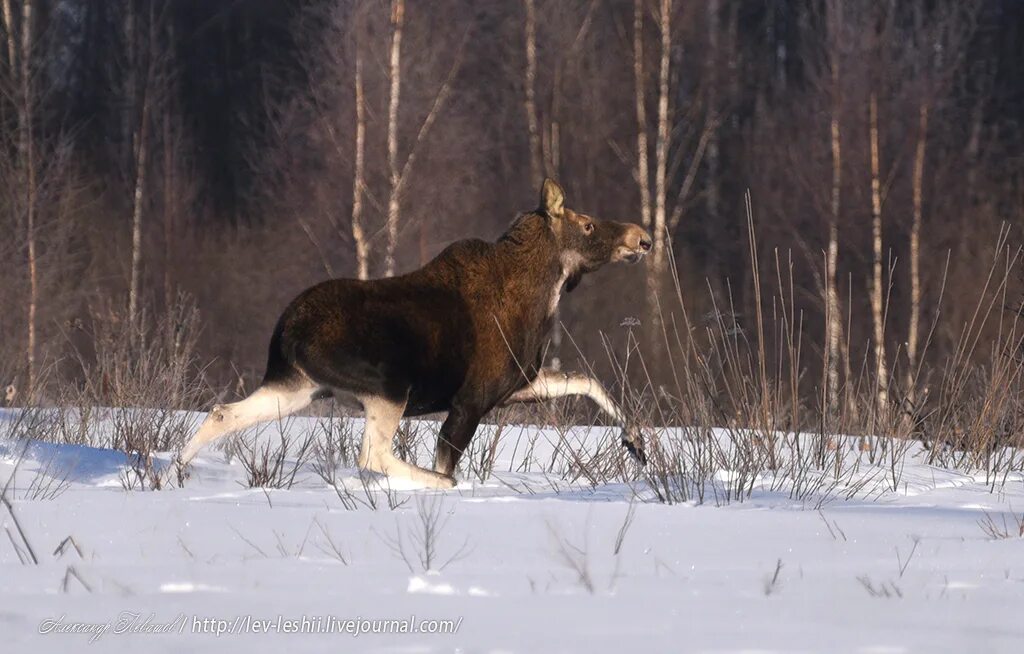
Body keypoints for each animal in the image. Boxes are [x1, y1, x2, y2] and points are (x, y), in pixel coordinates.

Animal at [180, 179, 651, 487]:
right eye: (587, 225)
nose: (642, 237)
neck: (542, 295)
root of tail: (285, 332)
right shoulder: (471, 399)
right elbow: (448, 461)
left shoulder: (517, 383)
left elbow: (587, 381)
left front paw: (637, 443)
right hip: (387, 387)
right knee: (374, 454)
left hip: (296, 387)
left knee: (222, 413)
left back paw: (172, 474)